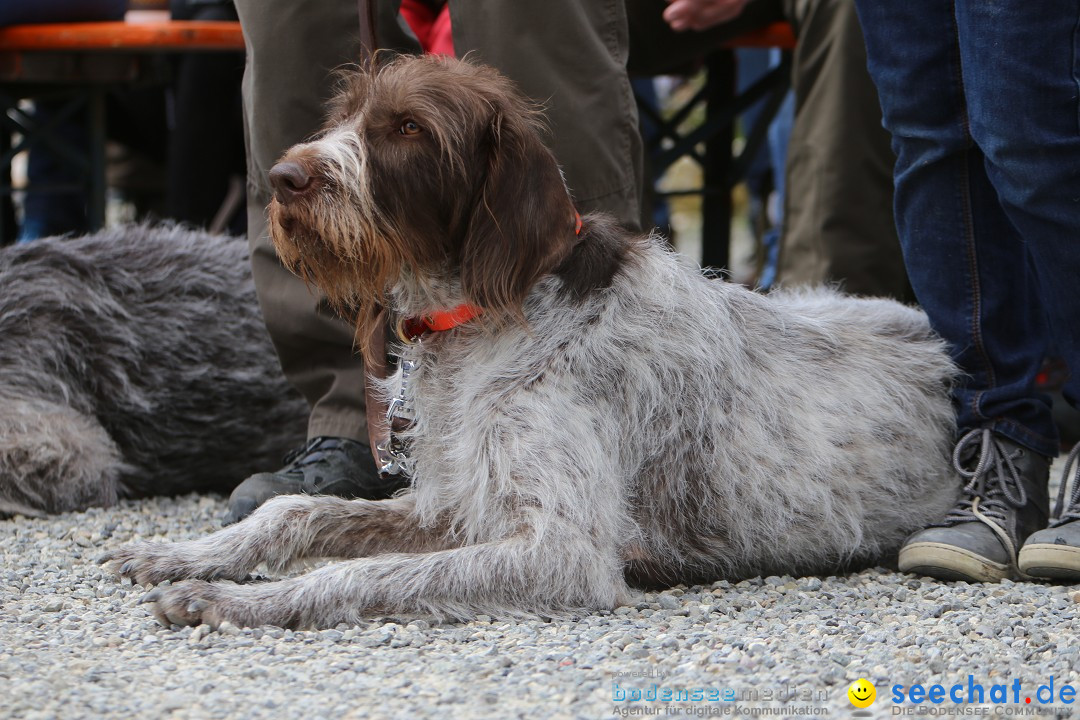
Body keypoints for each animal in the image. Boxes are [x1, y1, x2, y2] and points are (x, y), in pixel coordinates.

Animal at [105, 57, 959, 630]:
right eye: (342, 117)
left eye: (409, 130)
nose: (284, 177)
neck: (481, 323)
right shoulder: (459, 503)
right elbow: (296, 512)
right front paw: (190, 554)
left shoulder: (561, 554)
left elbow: (359, 574)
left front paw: (235, 598)